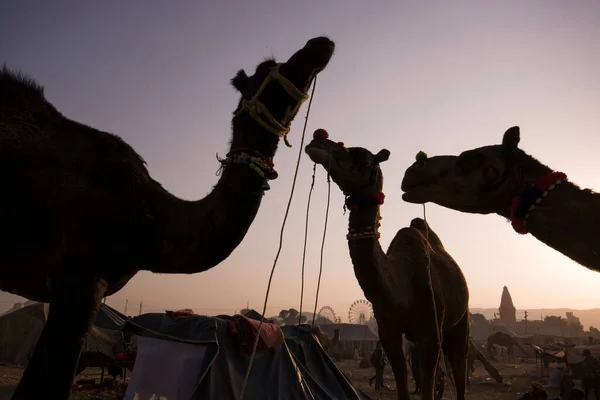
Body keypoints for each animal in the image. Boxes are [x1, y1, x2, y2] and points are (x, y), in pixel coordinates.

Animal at [308, 133, 472, 400]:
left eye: (363, 158)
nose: (319, 139)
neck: (400, 287)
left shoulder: (431, 333)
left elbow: (428, 386)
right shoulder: (388, 333)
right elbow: (402, 384)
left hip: (461, 318)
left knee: (459, 366)